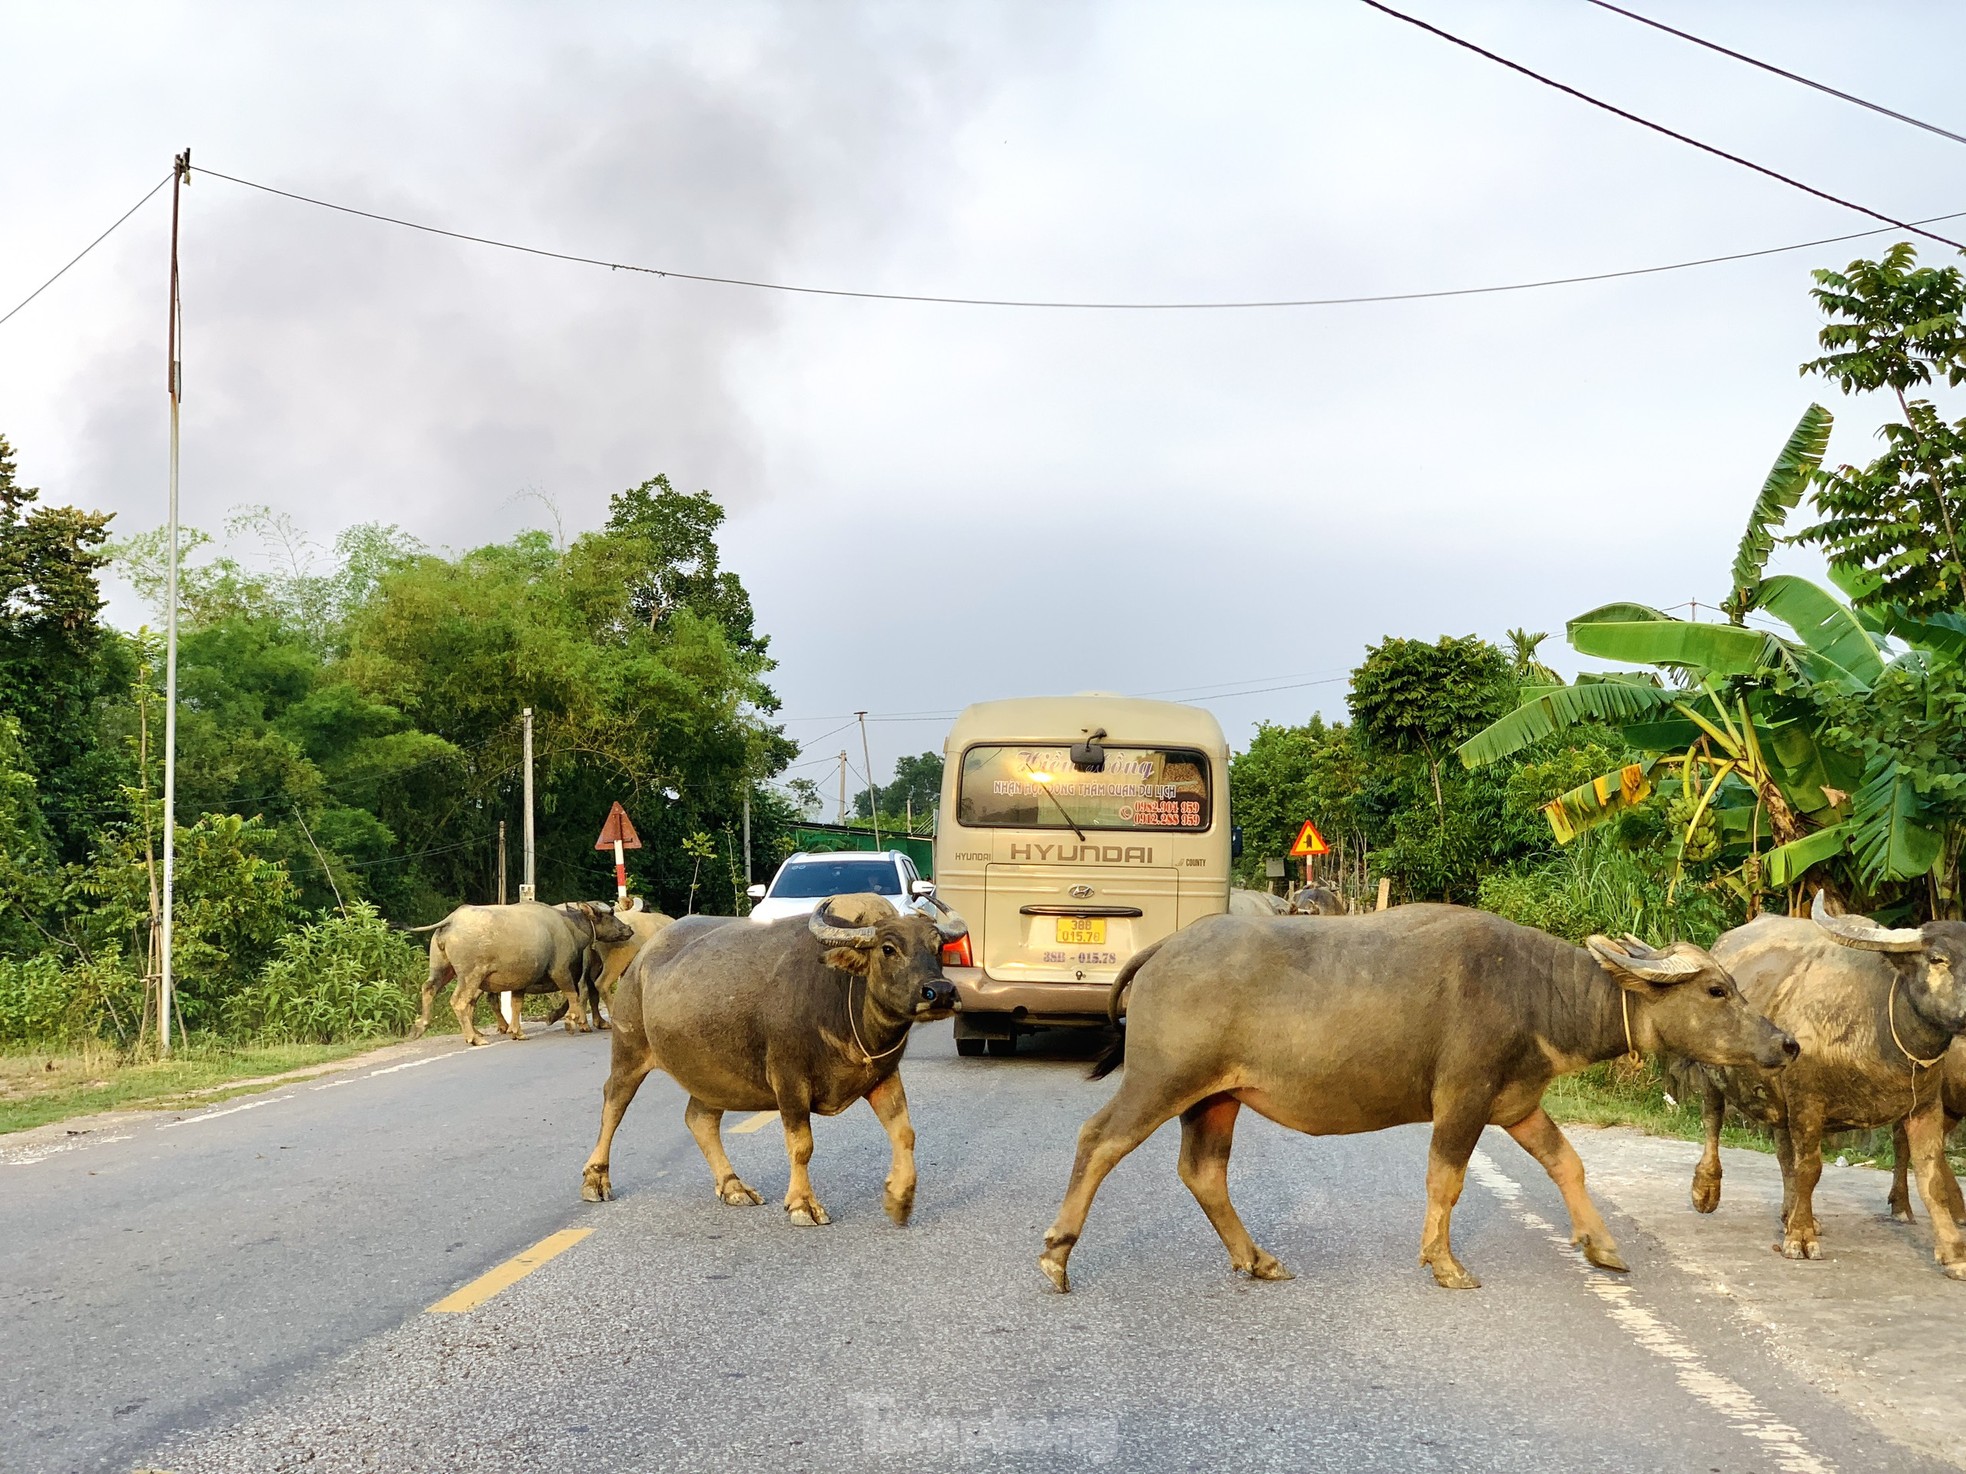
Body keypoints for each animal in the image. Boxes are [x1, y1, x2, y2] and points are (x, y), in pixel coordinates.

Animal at [410, 900, 633, 1053]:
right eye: (610, 914)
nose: (628, 929)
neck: (569, 926)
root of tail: (453, 919)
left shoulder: (520, 981)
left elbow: (516, 1004)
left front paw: (517, 1032)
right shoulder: (561, 970)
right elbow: (573, 996)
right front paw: (573, 1021)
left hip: (442, 969)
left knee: (429, 988)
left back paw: (420, 1027)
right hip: (471, 975)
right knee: (460, 1001)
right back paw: (474, 1037)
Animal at [574, 896, 967, 1226]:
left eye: (937, 947)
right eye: (888, 948)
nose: (940, 992)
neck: (842, 1001)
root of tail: (641, 959)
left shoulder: (884, 1076)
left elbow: (905, 1133)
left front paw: (900, 1200)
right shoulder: (789, 1081)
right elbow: (802, 1145)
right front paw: (803, 1205)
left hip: (712, 1076)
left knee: (699, 1119)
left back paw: (733, 1186)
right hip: (629, 1048)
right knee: (614, 1104)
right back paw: (596, 1180)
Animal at [1045, 907, 1800, 1297]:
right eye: (1717, 991)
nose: (1787, 1043)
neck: (1536, 992)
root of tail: (1165, 947)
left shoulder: (1516, 1102)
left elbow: (1568, 1163)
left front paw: (1603, 1246)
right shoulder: (1463, 1097)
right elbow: (1447, 1179)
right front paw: (1444, 1262)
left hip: (1218, 1097)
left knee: (1203, 1170)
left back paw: (1257, 1258)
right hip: (1161, 1080)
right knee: (1098, 1139)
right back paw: (1057, 1254)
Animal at [1682, 896, 1966, 1273]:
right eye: (1937, 959)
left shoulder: (1925, 1106)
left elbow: (1931, 1178)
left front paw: (1954, 1253)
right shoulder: (1807, 1101)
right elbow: (1810, 1168)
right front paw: (1800, 1239)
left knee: (1783, 1152)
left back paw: (1789, 1213)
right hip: (1713, 1071)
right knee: (1713, 1120)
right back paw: (1707, 1190)